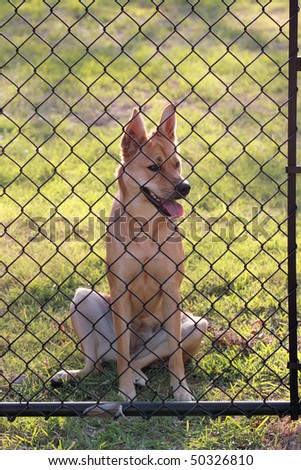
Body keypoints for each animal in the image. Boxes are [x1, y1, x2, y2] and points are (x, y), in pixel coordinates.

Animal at [51, 103, 206, 400]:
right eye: (153, 166)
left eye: (176, 164)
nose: (185, 187)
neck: (145, 226)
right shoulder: (120, 290)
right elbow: (122, 352)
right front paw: (124, 391)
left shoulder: (172, 291)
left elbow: (175, 358)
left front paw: (181, 392)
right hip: (83, 300)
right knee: (101, 362)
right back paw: (73, 375)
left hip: (195, 325)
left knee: (142, 358)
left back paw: (137, 375)